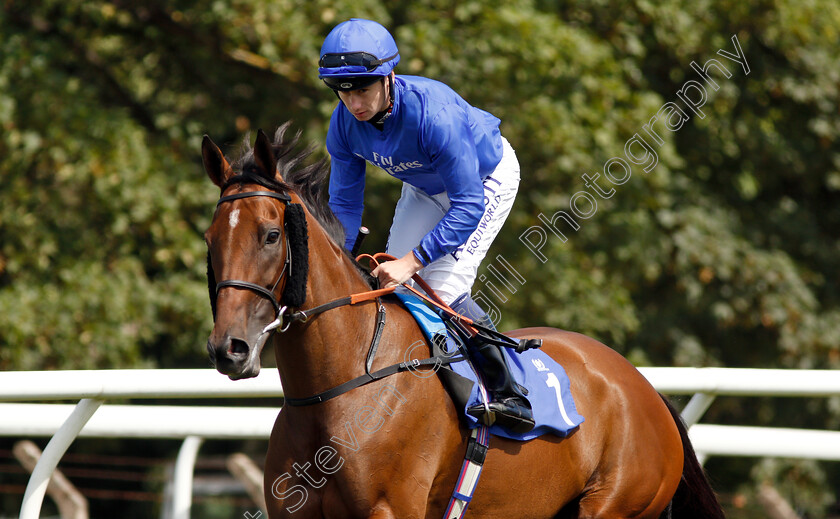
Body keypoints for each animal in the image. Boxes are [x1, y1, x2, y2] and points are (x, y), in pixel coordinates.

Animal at [200, 126, 724, 519]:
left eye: (271, 235)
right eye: (210, 239)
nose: (230, 349)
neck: (336, 387)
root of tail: (645, 389)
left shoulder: (391, 509)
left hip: (615, 505)